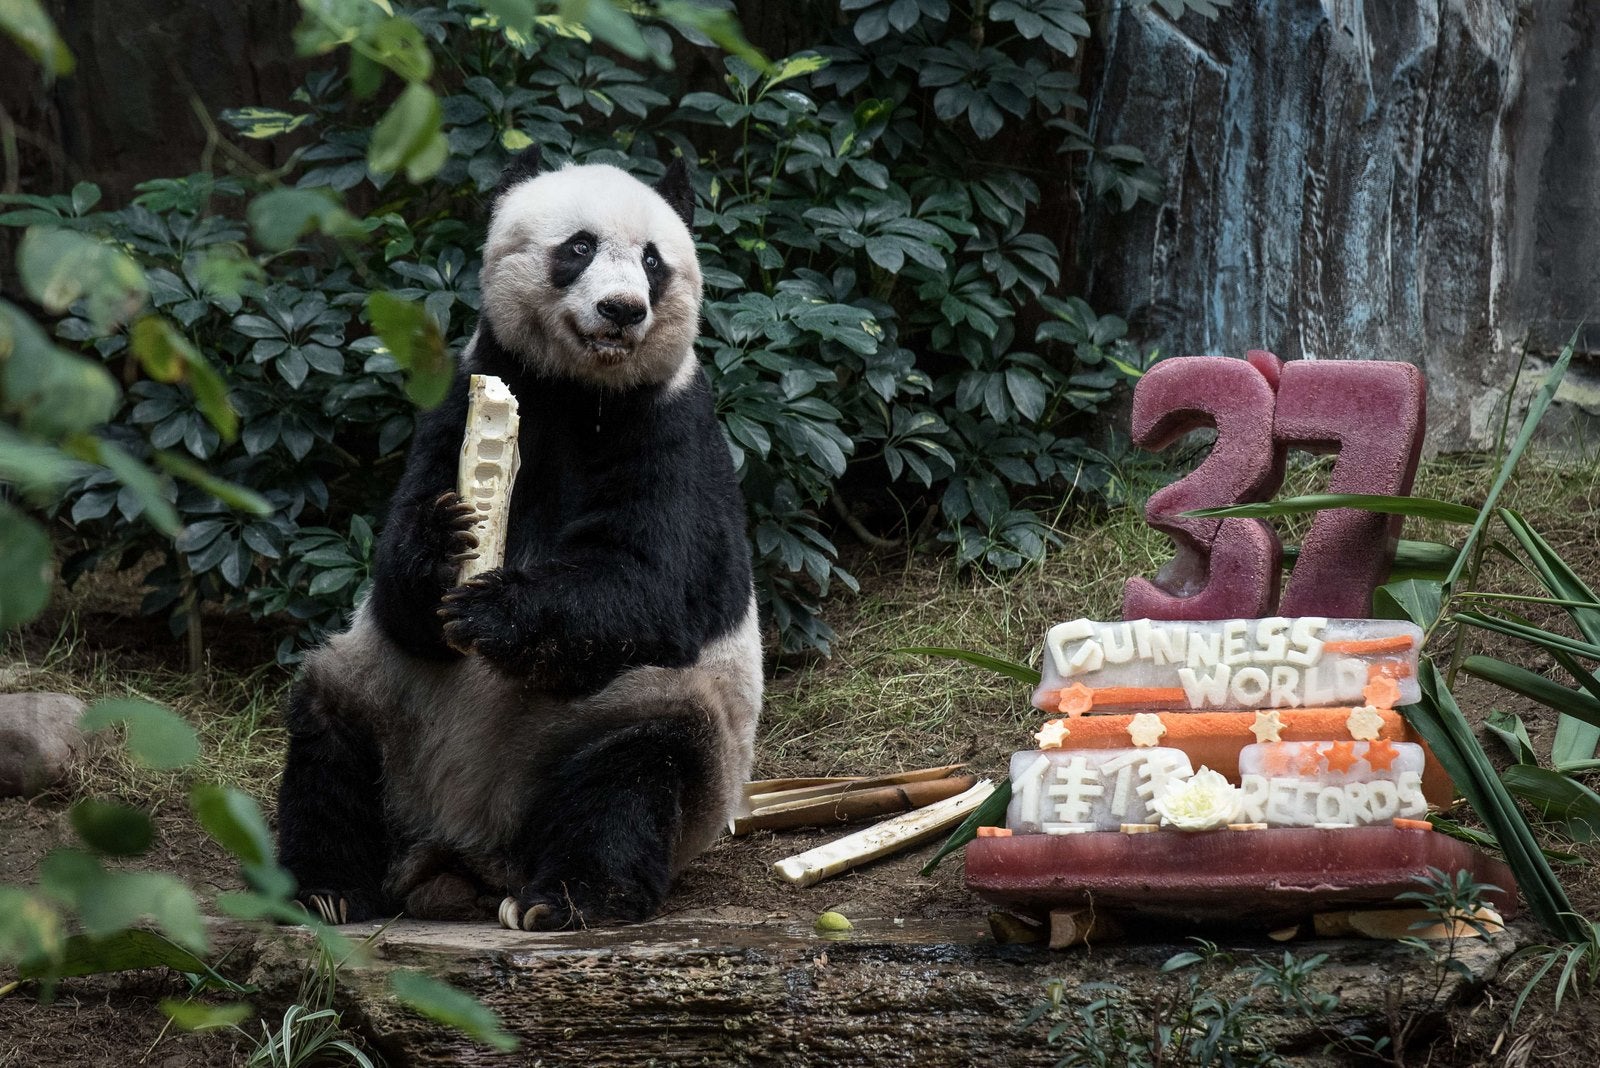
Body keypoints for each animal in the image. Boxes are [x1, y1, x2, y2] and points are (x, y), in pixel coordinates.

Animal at [274, 146, 762, 931]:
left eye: (653, 261)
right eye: (579, 248)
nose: (623, 310)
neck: (577, 391)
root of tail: (464, 849)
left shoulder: (670, 427)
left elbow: (649, 583)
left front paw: (492, 610)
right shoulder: (465, 395)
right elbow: (400, 598)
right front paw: (444, 545)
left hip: (624, 722)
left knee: (636, 766)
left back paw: (571, 897)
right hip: (385, 702)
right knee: (330, 734)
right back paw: (327, 887)